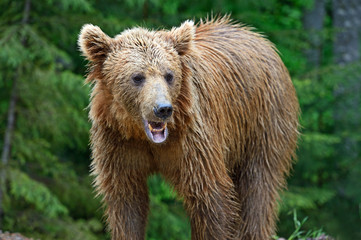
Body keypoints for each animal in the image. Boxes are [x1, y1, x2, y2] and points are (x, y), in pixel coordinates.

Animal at [78, 15, 298, 239]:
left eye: (169, 75)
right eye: (137, 77)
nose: (163, 109)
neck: (141, 135)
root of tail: (261, 39)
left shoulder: (192, 139)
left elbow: (210, 199)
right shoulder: (118, 144)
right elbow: (127, 203)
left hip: (264, 120)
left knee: (258, 186)